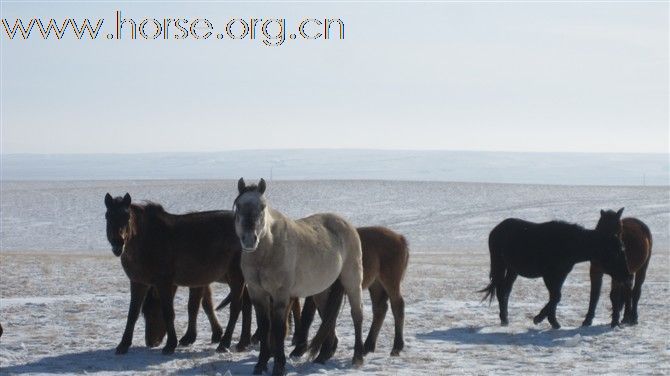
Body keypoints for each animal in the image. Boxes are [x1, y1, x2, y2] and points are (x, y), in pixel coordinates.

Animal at [103, 194, 251, 356]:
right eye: (107, 216)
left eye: (127, 216)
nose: (118, 243)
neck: (147, 238)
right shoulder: (138, 282)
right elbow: (132, 314)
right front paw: (123, 345)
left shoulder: (164, 282)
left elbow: (169, 312)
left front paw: (170, 345)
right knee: (246, 305)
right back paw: (243, 342)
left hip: (236, 275)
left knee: (236, 307)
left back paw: (224, 343)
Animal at [232, 179, 368, 376]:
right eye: (239, 206)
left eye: (262, 206)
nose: (250, 239)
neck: (267, 251)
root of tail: (347, 225)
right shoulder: (257, 294)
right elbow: (264, 327)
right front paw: (260, 364)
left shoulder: (281, 295)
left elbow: (278, 329)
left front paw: (279, 366)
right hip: (322, 291)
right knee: (328, 318)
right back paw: (322, 357)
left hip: (352, 280)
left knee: (357, 314)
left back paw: (357, 357)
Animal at [292, 226, 412, 362]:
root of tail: (400, 238)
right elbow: (314, 315)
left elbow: (315, 316)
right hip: (375, 284)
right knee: (380, 309)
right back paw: (368, 346)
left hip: (390, 282)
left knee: (397, 306)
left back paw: (396, 347)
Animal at [480, 217, 632, 328]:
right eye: (615, 254)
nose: (628, 276)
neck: (567, 244)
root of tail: (496, 229)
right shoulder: (549, 276)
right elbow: (556, 296)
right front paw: (539, 318)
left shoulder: (560, 276)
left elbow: (555, 297)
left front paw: (552, 322)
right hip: (500, 265)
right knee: (501, 290)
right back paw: (504, 319)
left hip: (512, 270)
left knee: (505, 290)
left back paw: (505, 318)